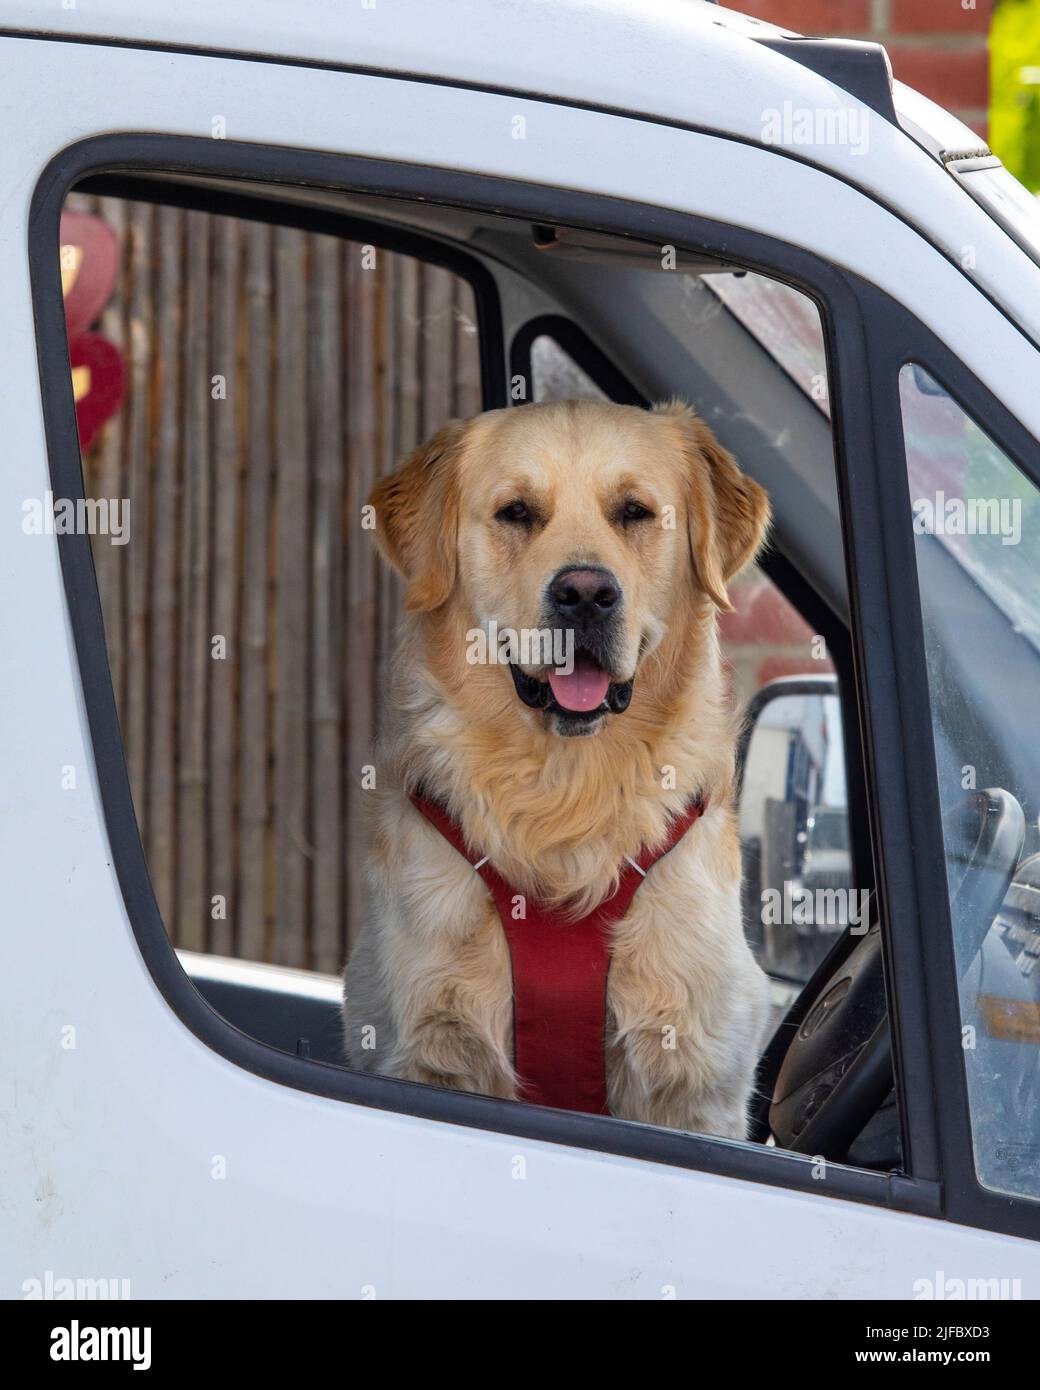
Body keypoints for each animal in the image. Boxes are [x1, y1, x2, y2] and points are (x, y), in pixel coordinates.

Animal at [343, 397, 773, 1134]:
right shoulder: (427, 1050)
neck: (565, 785)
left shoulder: (696, 1082)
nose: (585, 593)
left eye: (634, 511)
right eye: (517, 512)